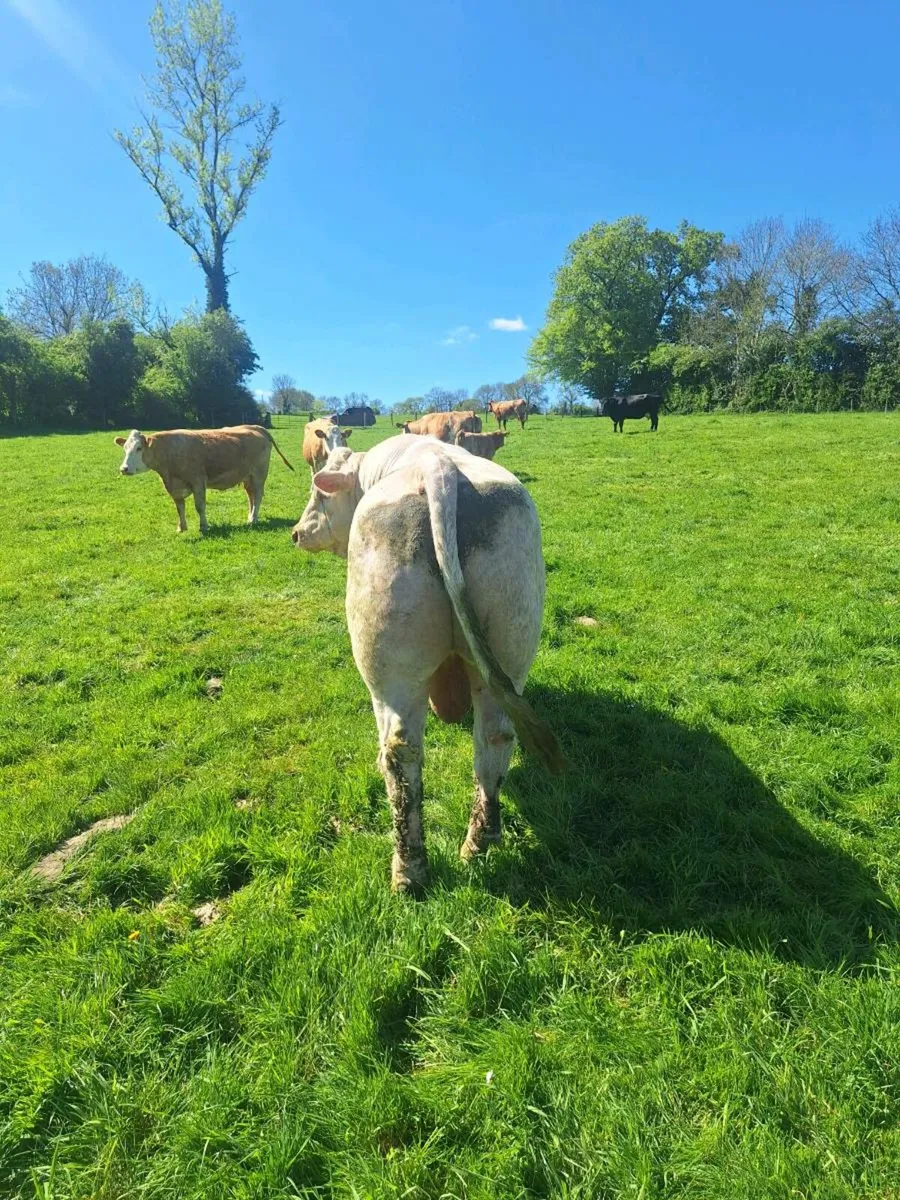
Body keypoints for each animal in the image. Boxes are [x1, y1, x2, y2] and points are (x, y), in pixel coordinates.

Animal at [115, 425, 294, 533]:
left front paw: (204, 526)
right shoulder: (173, 487)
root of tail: (255, 427)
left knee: (257, 496)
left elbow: (199, 506)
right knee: (251, 496)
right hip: (247, 477)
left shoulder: (198, 482)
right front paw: (182, 528)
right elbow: (180, 508)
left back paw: (253, 519)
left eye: (139, 448)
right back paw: (250, 517)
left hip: (258, 474)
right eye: (125, 449)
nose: (124, 469)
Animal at [291, 434, 564, 893]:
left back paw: (409, 872)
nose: (296, 533)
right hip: (513, 637)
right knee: (495, 736)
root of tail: (441, 469)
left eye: (319, 494)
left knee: (401, 751)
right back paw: (479, 842)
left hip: (390, 669)